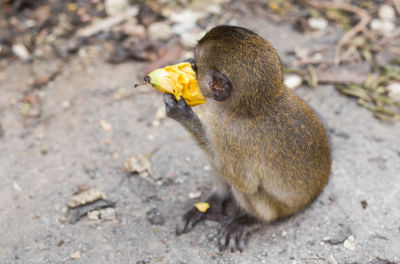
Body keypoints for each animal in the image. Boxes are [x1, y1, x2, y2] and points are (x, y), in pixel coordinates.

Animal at [164, 25, 332, 253]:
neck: (248, 108)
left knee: (248, 189)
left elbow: (246, 183)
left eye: (196, 64)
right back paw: (213, 203)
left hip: (277, 209)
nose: (188, 60)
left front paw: (180, 113)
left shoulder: (229, 134)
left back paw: (250, 221)